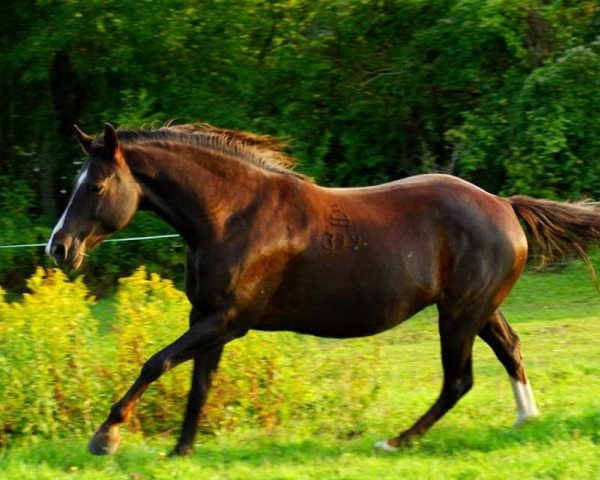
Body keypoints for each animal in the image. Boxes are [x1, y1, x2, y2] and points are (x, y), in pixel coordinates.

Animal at [45, 122, 600, 456]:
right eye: (74, 184)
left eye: (95, 186)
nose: (58, 248)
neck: (232, 215)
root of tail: (505, 206)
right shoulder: (206, 318)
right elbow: (199, 384)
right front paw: (180, 451)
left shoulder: (228, 320)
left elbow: (156, 363)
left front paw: (106, 436)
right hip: (477, 309)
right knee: (511, 349)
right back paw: (525, 420)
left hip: (459, 314)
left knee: (458, 381)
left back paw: (395, 442)